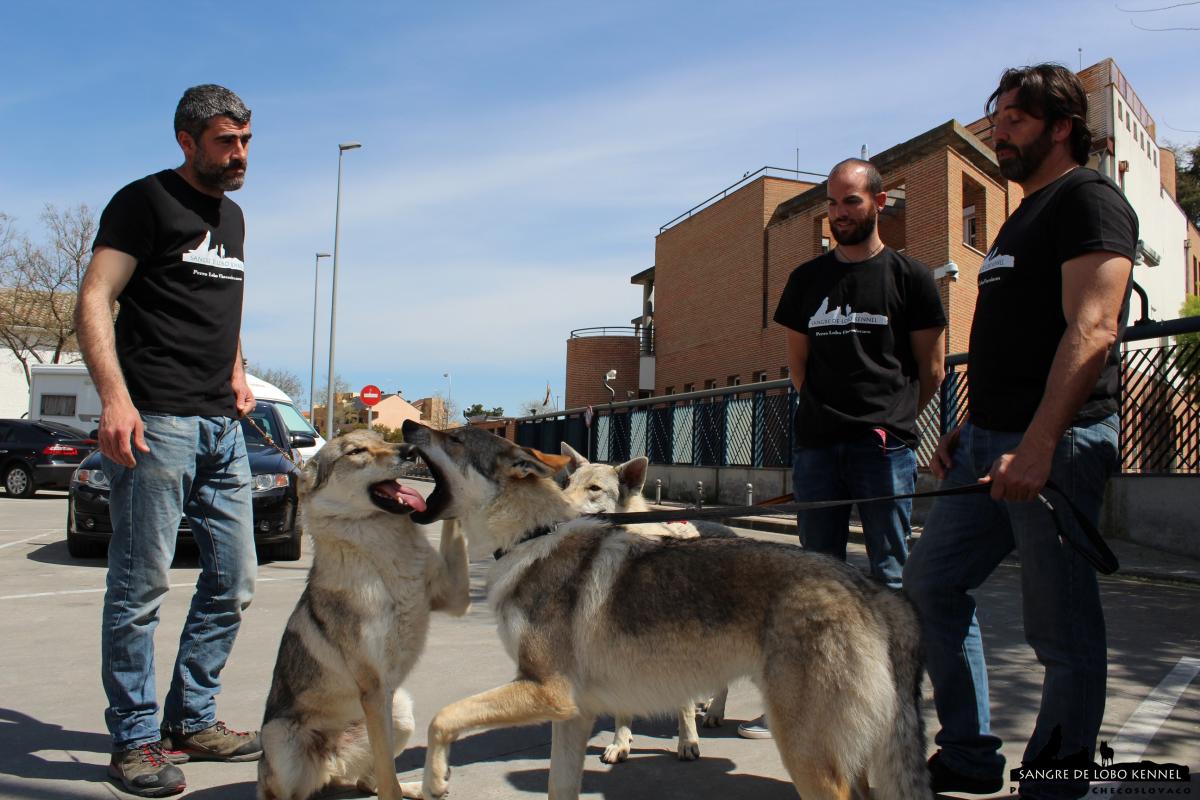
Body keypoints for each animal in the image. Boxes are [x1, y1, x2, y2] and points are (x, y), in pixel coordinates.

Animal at [260, 431, 470, 800]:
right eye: (357, 451)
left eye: (382, 439)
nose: (410, 450)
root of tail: (331, 764)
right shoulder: (374, 688)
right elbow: (388, 778)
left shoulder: (456, 597)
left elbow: (386, 777)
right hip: (277, 739)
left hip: (401, 710)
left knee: (364, 781)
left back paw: (420, 788)